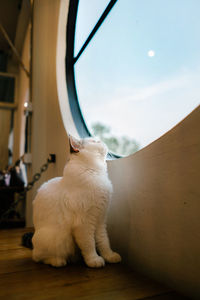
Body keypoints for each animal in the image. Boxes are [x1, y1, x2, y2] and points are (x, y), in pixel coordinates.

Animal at [32, 135, 121, 268]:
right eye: (95, 141)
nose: (103, 142)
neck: (94, 172)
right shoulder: (84, 224)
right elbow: (89, 244)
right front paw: (94, 260)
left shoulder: (100, 220)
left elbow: (104, 242)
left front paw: (109, 256)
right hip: (60, 239)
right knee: (40, 257)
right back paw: (59, 261)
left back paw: (74, 258)